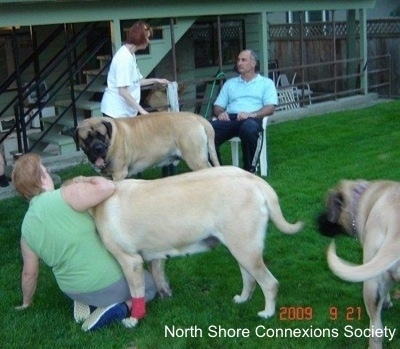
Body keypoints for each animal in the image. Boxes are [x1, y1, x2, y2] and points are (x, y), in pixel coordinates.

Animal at [73, 111, 220, 179]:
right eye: (87, 139)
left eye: (101, 135)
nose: (98, 148)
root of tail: (197, 117)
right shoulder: (107, 177)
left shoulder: (119, 174)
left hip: (196, 159)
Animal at [90, 165, 304, 326]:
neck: (99, 204)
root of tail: (253, 179)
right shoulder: (158, 253)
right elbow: (160, 276)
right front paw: (166, 295)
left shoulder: (130, 262)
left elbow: (136, 293)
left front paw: (134, 319)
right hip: (241, 249)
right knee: (250, 279)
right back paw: (243, 299)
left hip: (245, 250)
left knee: (270, 283)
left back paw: (267, 313)